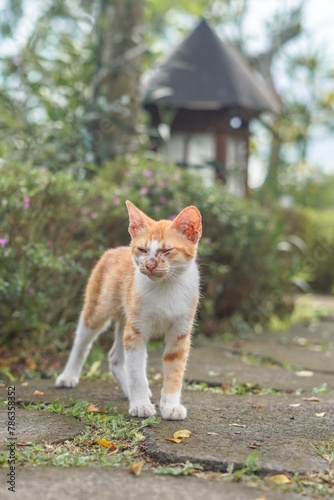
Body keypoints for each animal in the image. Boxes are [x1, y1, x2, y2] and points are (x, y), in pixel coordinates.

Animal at [55, 201, 201, 420]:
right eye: (142, 249)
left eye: (167, 250)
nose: (150, 265)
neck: (165, 287)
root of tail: (114, 249)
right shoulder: (136, 332)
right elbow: (136, 372)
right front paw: (140, 404)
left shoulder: (180, 332)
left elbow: (174, 369)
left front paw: (170, 405)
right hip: (97, 309)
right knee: (82, 341)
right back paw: (68, 375)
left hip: (126, 318)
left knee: (115, 358)